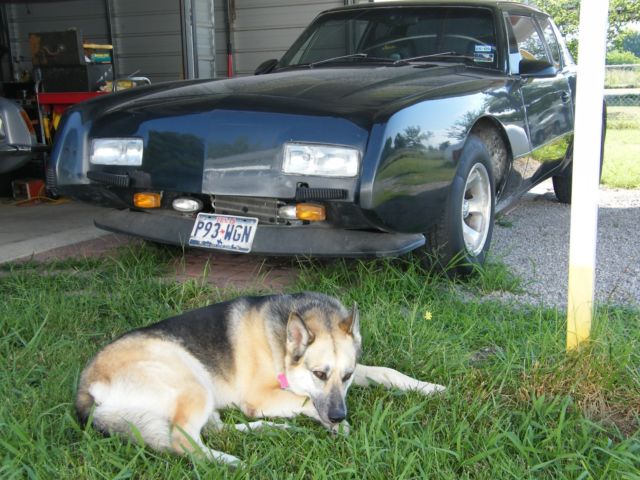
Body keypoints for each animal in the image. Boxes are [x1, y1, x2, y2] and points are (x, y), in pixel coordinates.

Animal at [75, 292, 444, 464]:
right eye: (319, 374)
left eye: (348, 376)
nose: (339, 414)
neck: (282, 344)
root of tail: (85, 388)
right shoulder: (262, 397)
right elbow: (308, 400)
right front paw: (335, 426)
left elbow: (387, 371)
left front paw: (427, 387)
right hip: (192, 381)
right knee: (183, 439)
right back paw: (226, 462)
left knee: (215, 429)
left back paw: (273, 429)